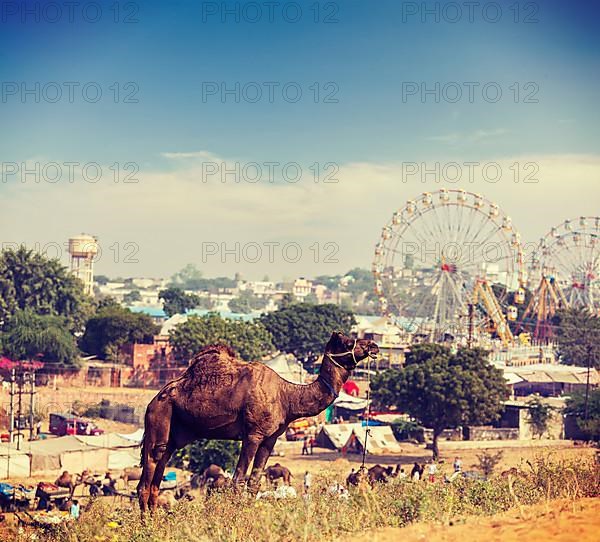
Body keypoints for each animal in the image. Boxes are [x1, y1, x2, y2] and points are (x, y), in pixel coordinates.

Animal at [138, 332, 378, 516]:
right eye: (348, 342)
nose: (373, 345)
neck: (287, 397)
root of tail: (152, 402)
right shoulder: (253, 435)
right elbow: (238, 480)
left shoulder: (270, 438)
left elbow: (254, 482)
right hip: (159, 419)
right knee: (147, 477)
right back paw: (147, 526)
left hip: (174, 436)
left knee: (157, 476)